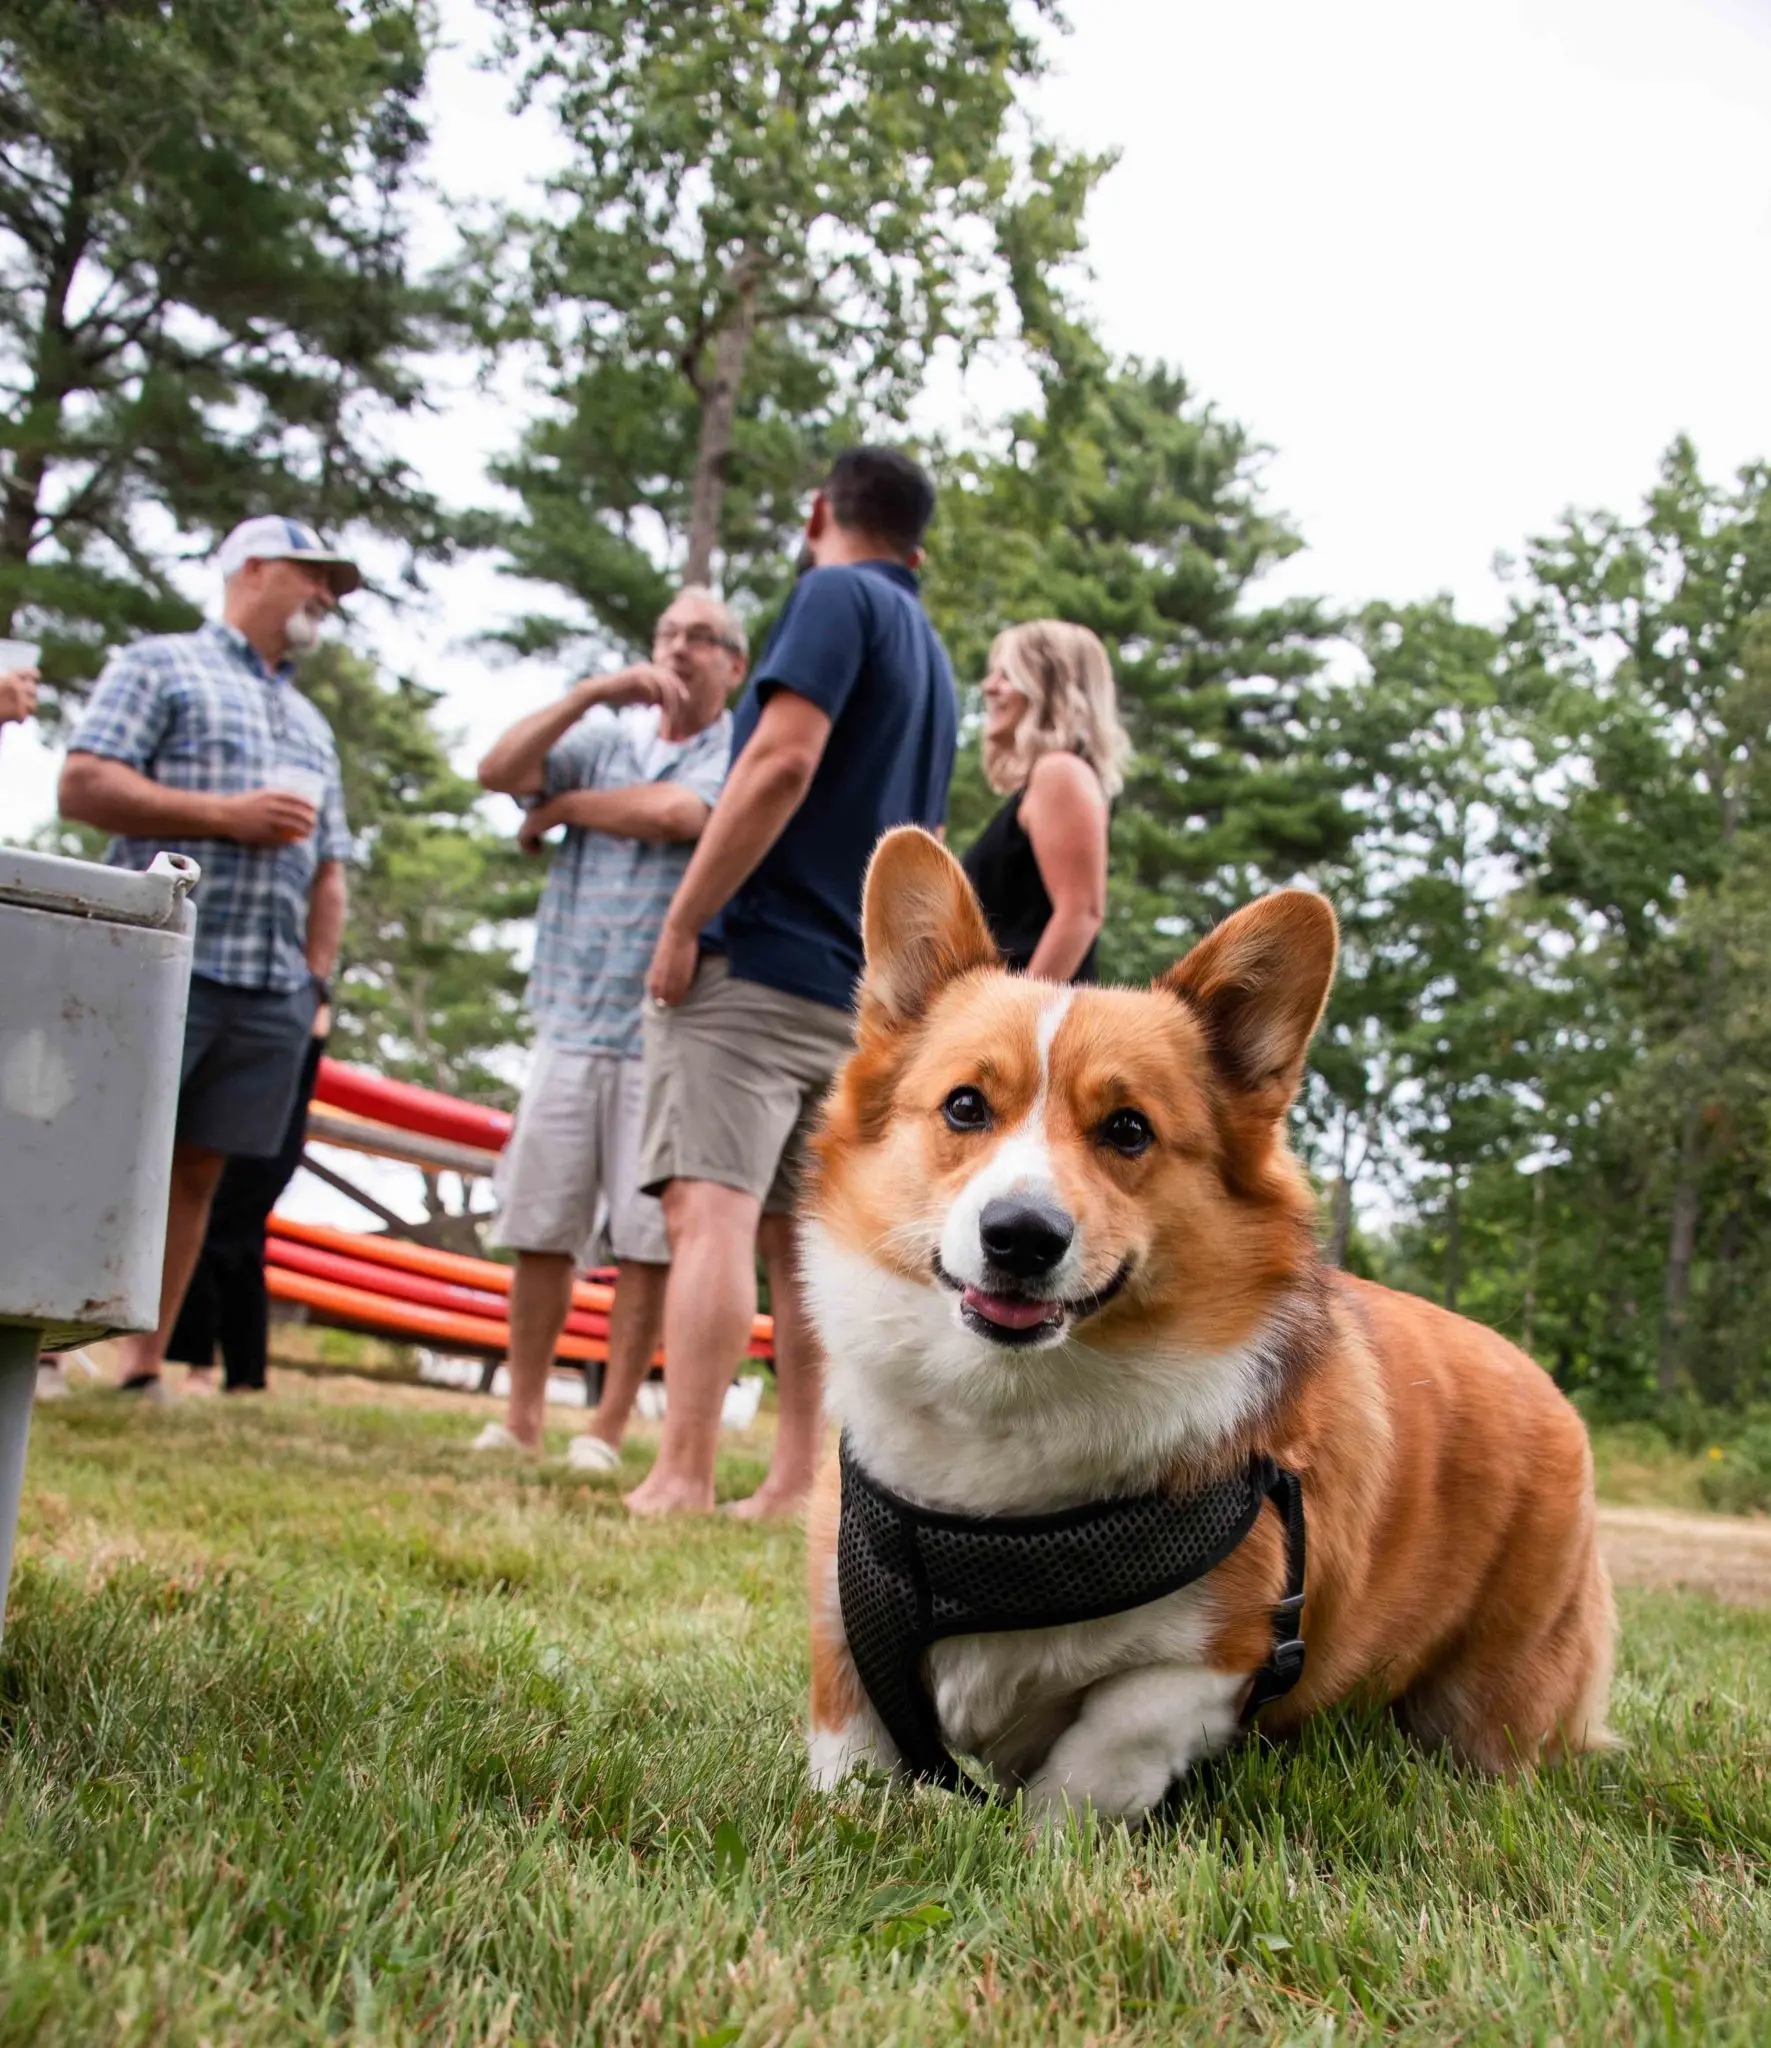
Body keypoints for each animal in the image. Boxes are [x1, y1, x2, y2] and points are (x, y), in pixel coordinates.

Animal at [802, 831, 1613, 1826]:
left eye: (1127, 1129)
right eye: (964, 1106)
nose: (1020, 1237)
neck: (1009, 1414)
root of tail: (1538, 1378)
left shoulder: (1205, 1661)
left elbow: (1094, 1764)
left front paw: (1043, 1843)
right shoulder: (844, 1627)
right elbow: (851, 1759)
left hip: (1499, 1699)